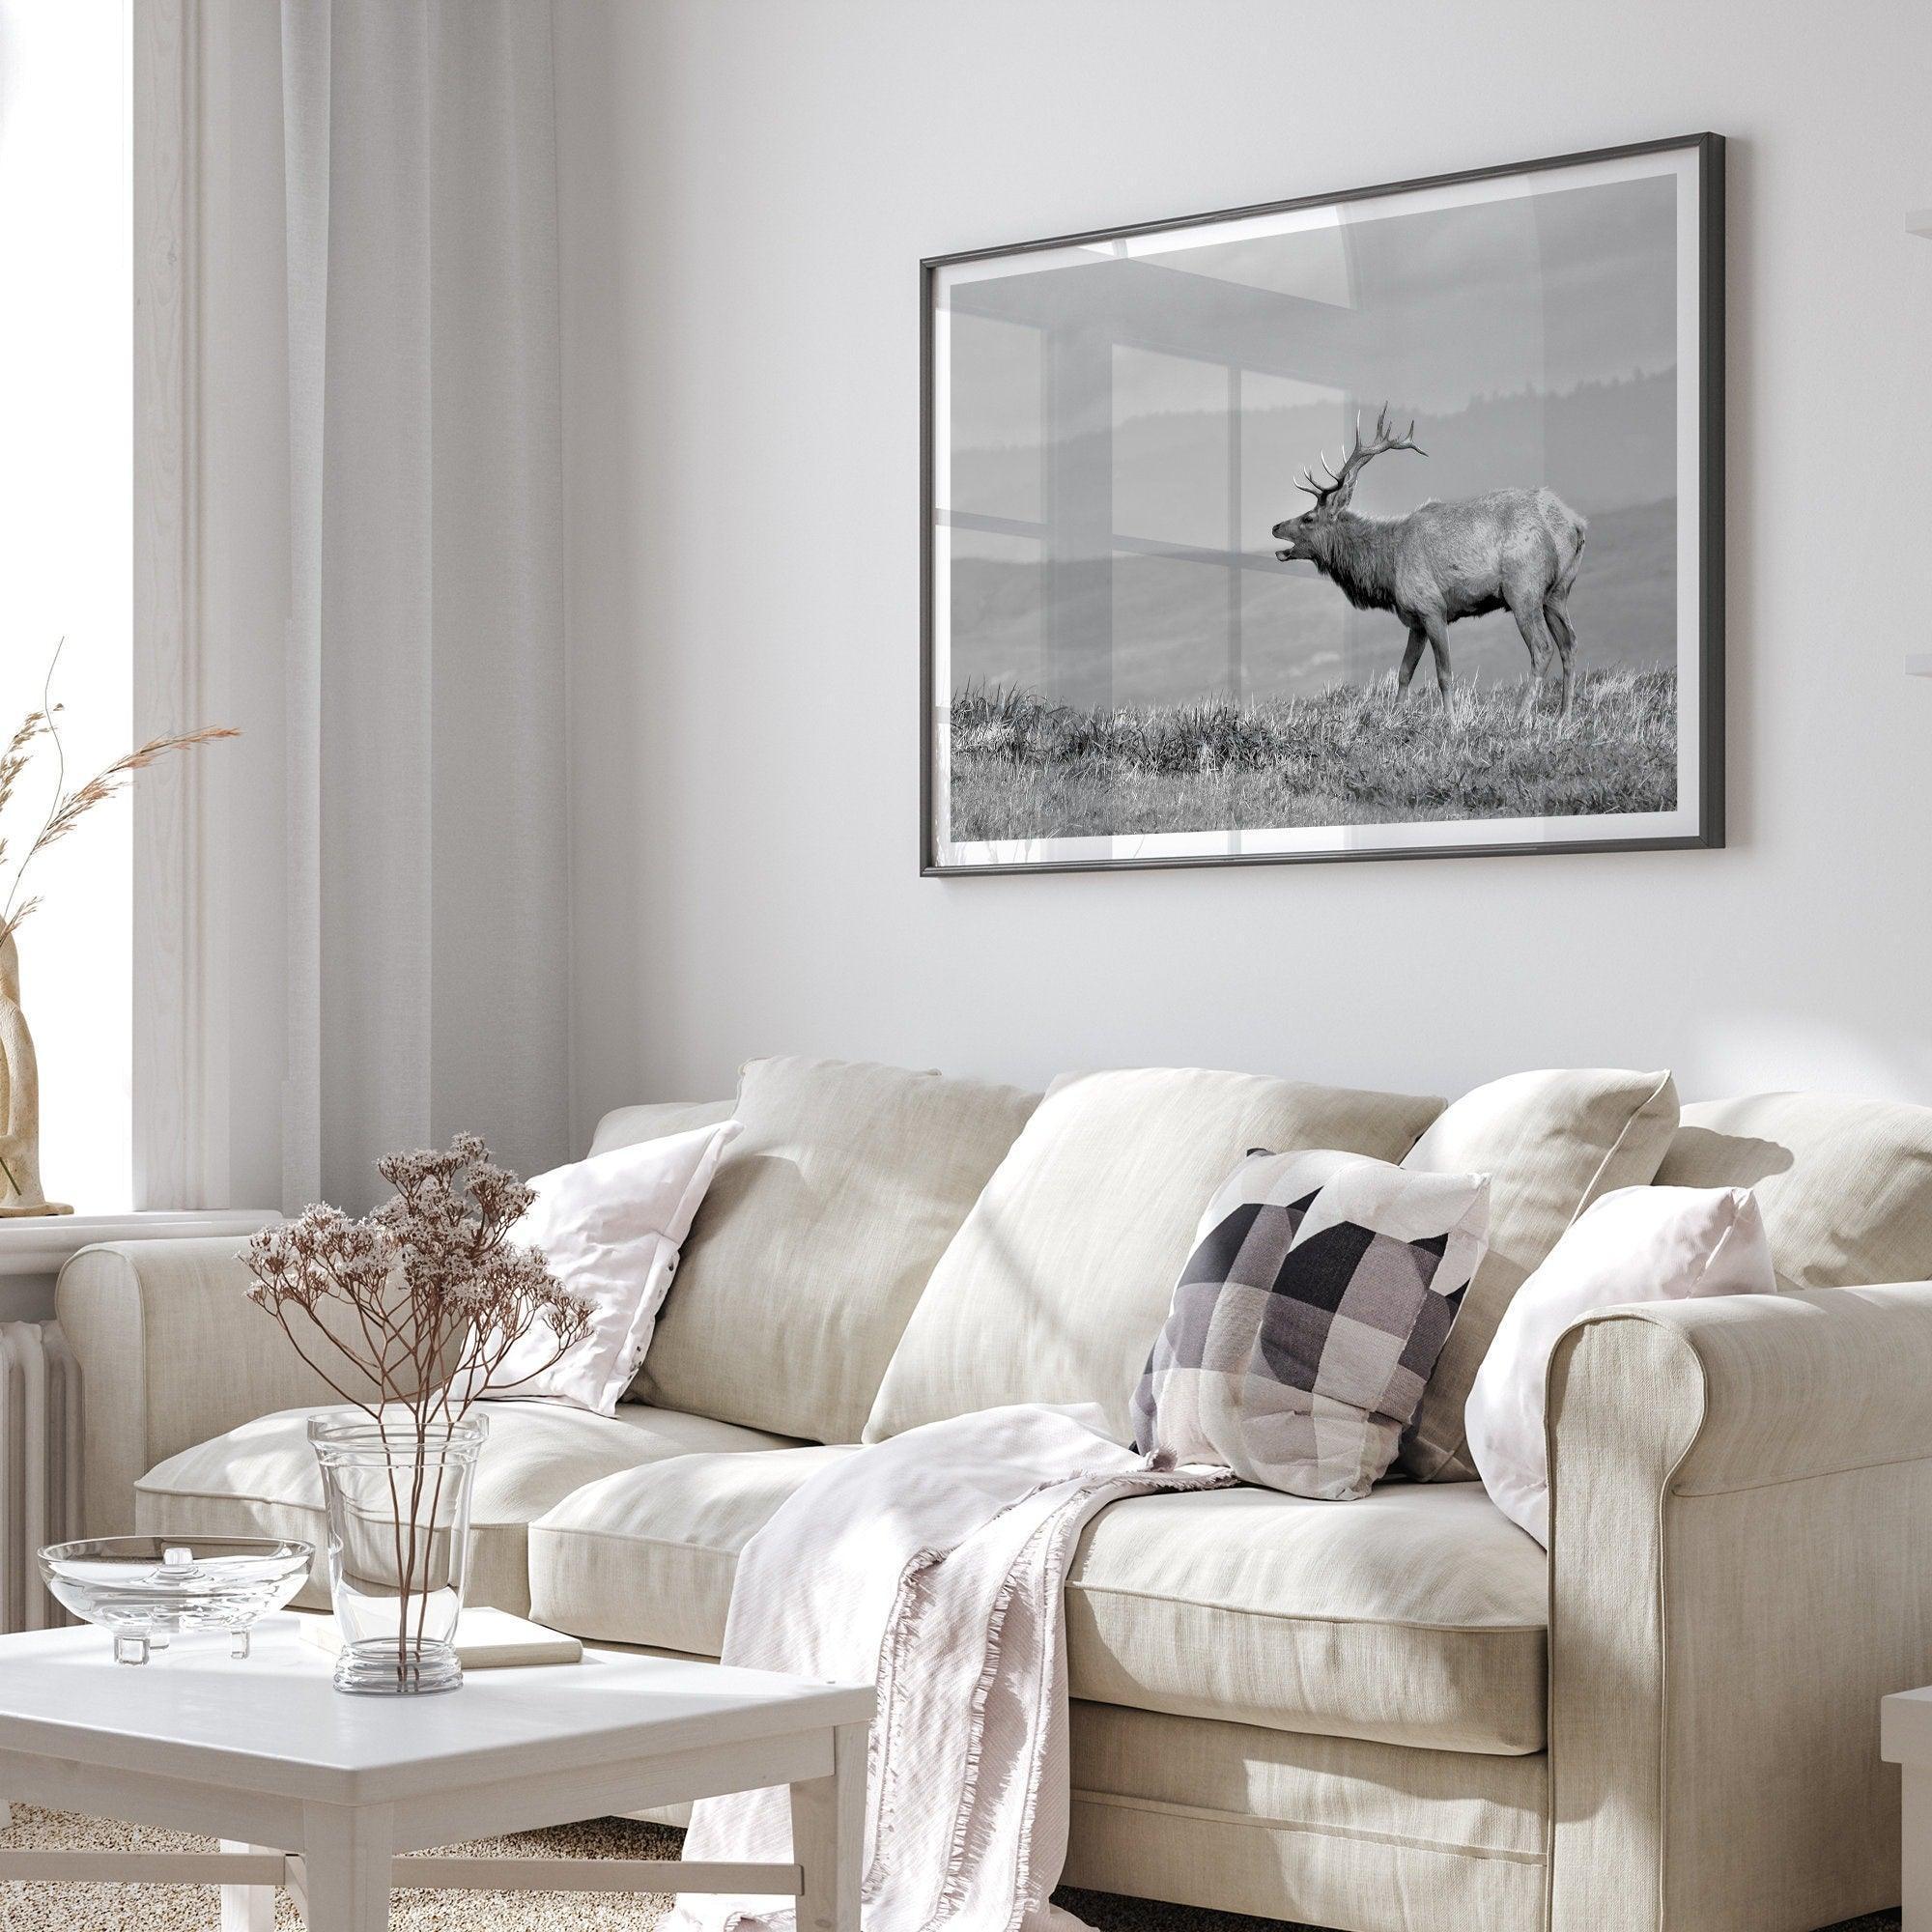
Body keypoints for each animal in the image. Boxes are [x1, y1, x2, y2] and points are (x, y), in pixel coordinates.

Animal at [1267, 406, 1584, 711]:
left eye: (1308, 518)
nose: (1275, 526)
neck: (1387, 568)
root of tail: (1577, 524)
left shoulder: (1432, 608)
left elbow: (1444, 674)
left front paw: (1452, 722)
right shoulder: (1414, 619)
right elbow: (1404, 672)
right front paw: (1393, 717)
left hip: (1523, 589)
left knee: (1542, 648)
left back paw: (1521, 716)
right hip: (1557, 592)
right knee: (1569, 644)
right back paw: (1563, 716)